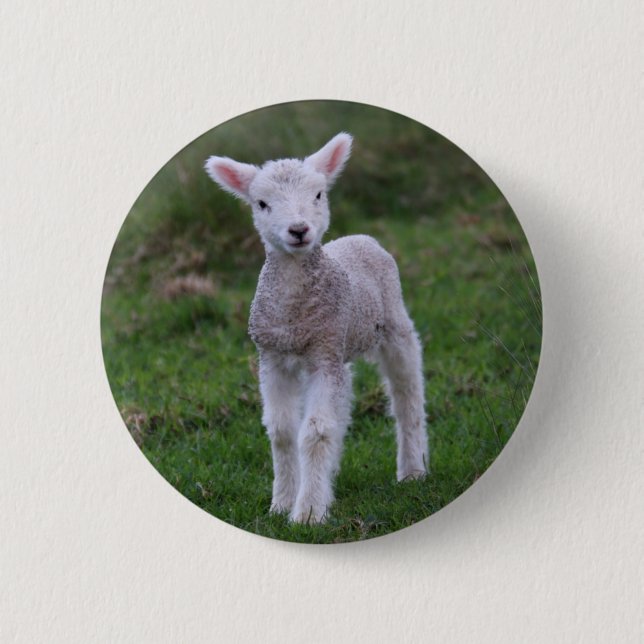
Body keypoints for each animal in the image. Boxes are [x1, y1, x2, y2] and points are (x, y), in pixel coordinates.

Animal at [204, 132, 428, 524]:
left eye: (319, 195)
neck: (294, 313)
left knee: (407, 394)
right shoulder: (273, 358)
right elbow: (282, 431)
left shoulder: (323, 356)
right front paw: (281, 504)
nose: (298, 230)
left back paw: (412, 470)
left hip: (392, 324)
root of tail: (361, 238)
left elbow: (315, 432)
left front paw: (308, 513)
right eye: (262, 203)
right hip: (340, 346)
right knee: (344, 402)